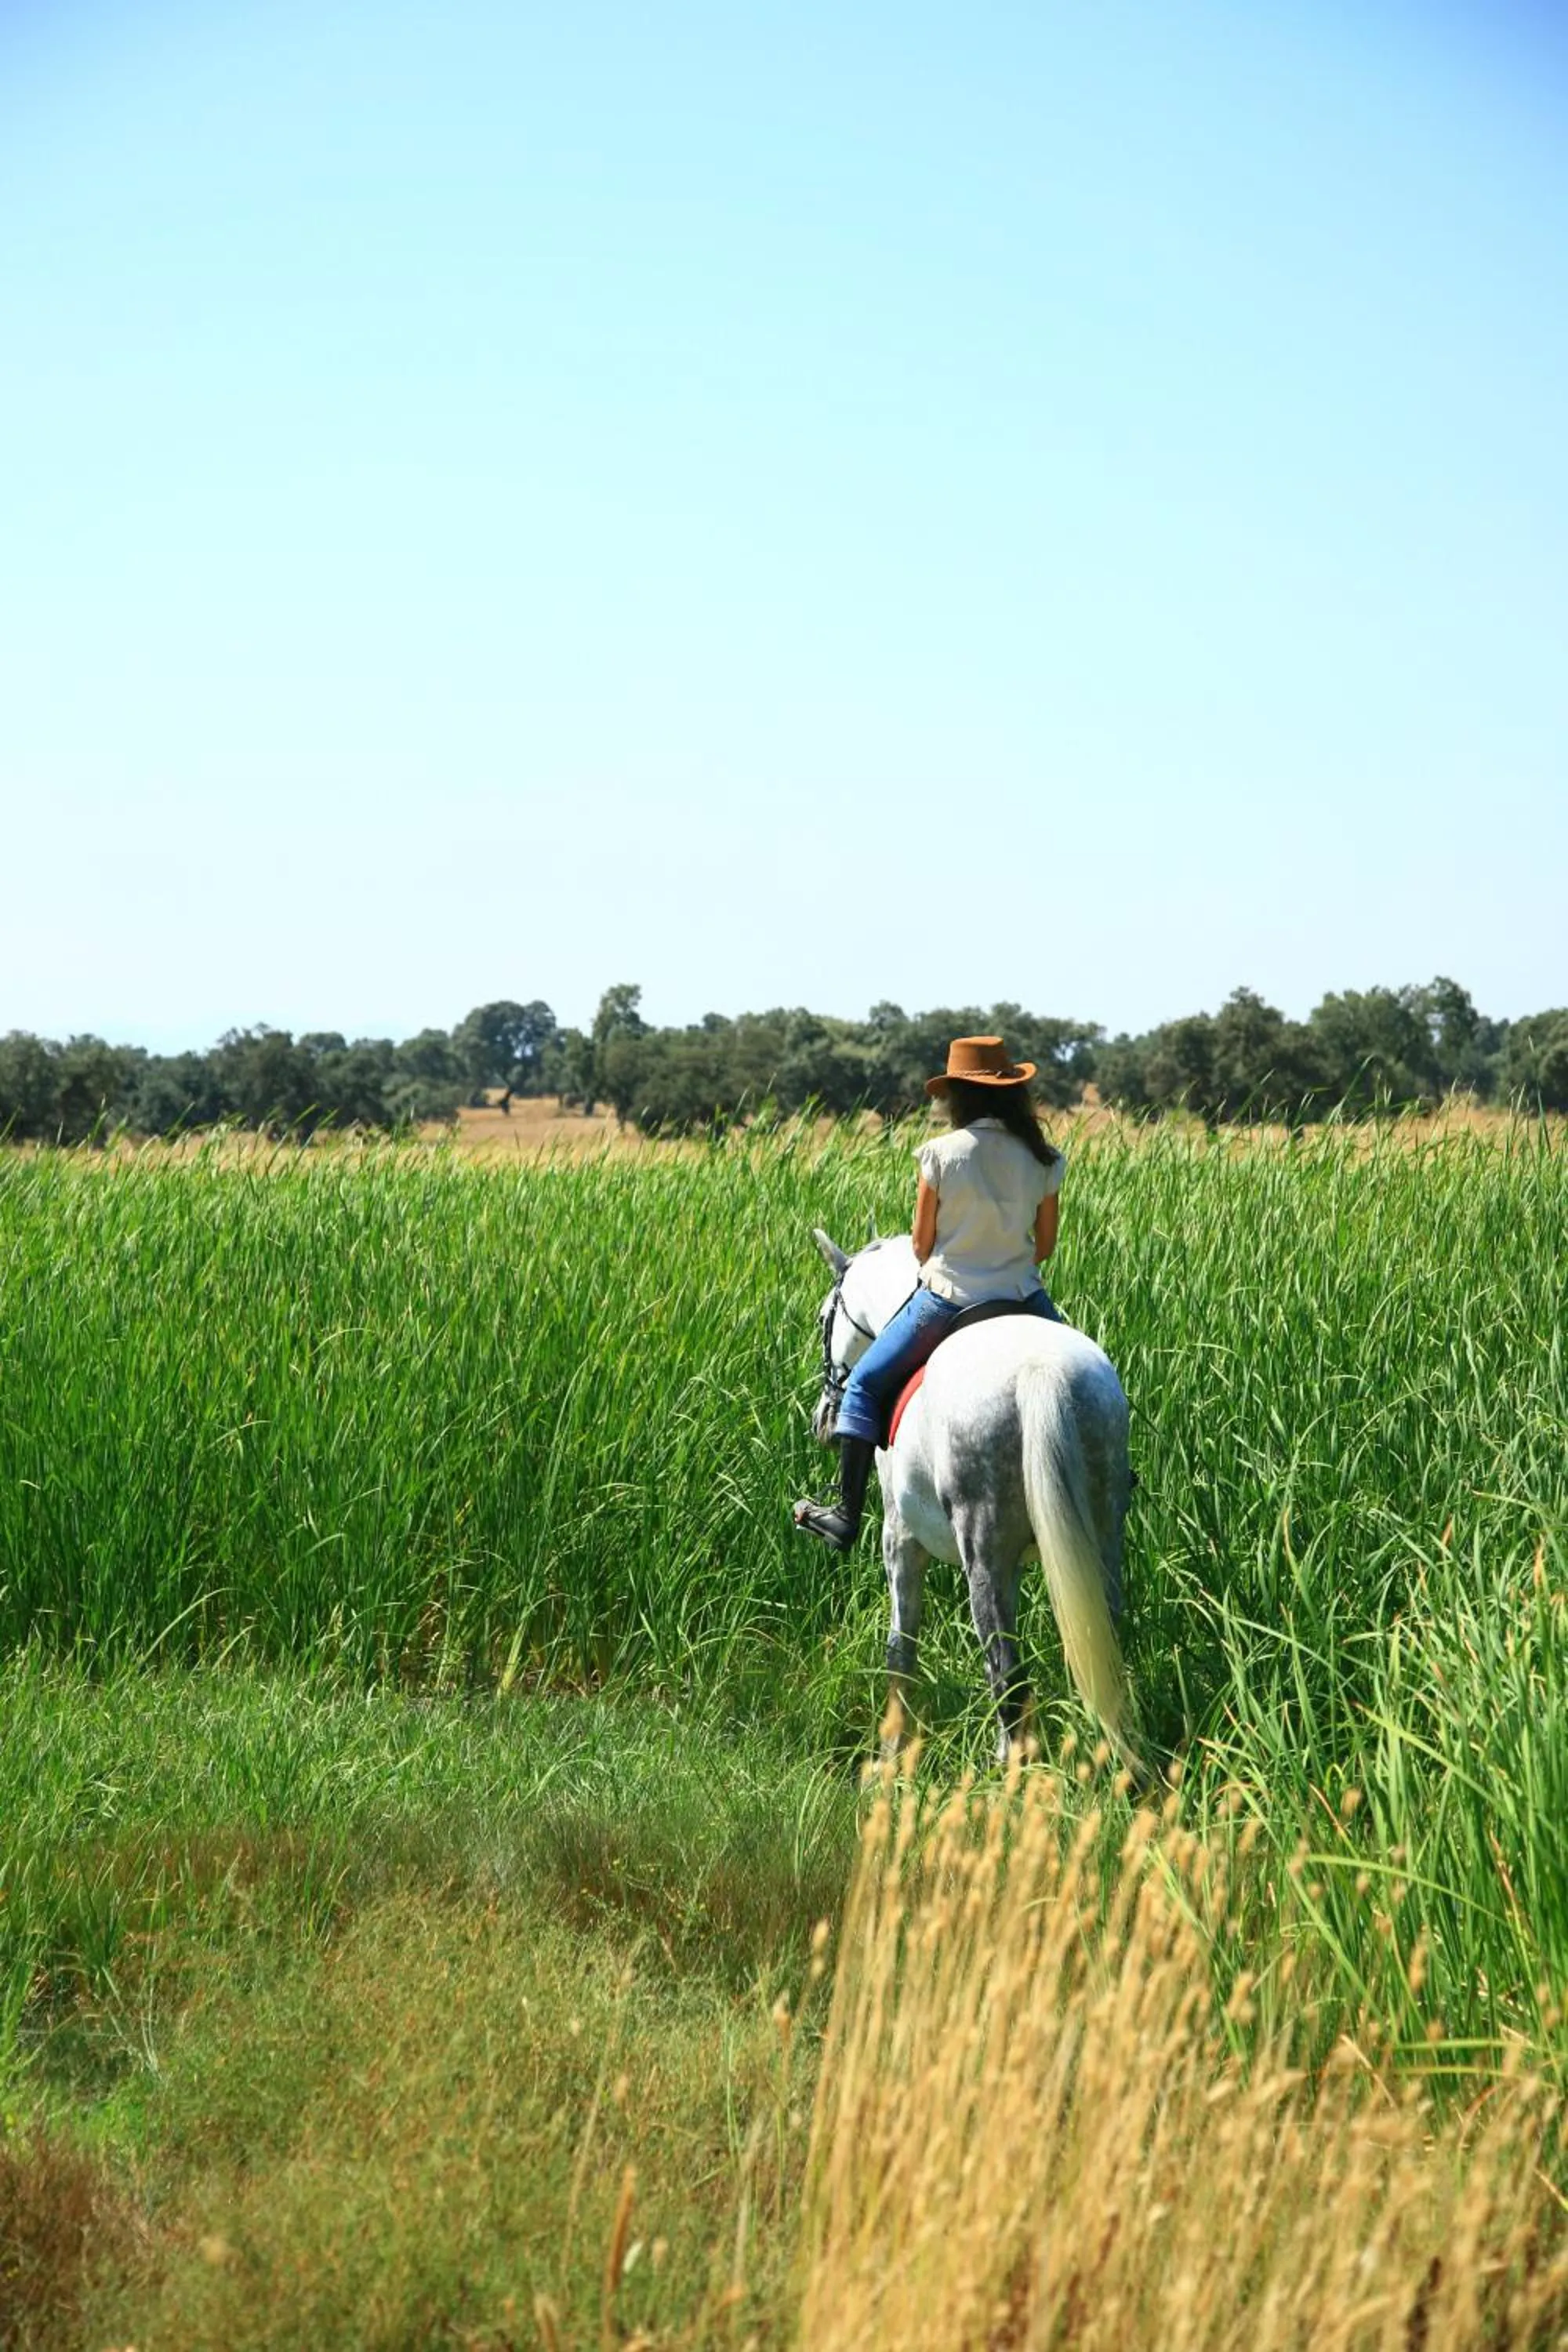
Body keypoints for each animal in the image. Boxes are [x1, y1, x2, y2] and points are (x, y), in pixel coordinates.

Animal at [808, 1226, 1139, 1766]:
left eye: (823, 1318)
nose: (823, 1420)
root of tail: (1040, 1373)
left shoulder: (900, 1537)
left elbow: (900, 1646)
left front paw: (889, 1753)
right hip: (1097, 1540)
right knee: (1094, 1646)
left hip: (981, 1553)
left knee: (1007, 1674)